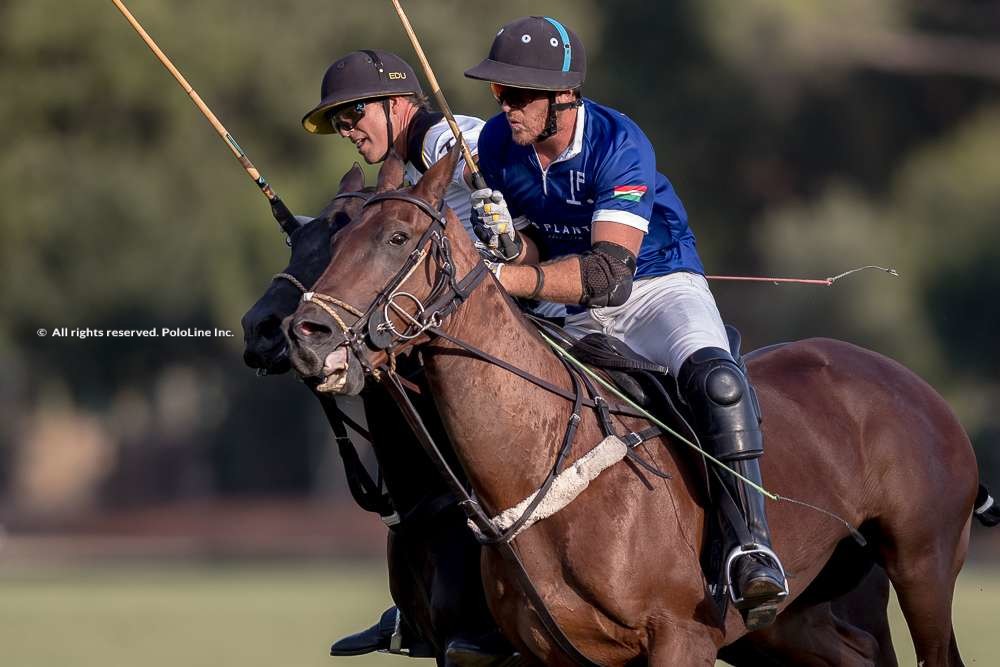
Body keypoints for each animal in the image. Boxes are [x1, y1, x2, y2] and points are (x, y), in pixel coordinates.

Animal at [284, 153, 984, 667]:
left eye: (397, 237)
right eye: (331, 243)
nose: (303, 334)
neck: (541, 462)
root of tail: (915, 386)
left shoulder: (681, 637)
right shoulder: (548, 655)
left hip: (923, 564)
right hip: (799, 616)